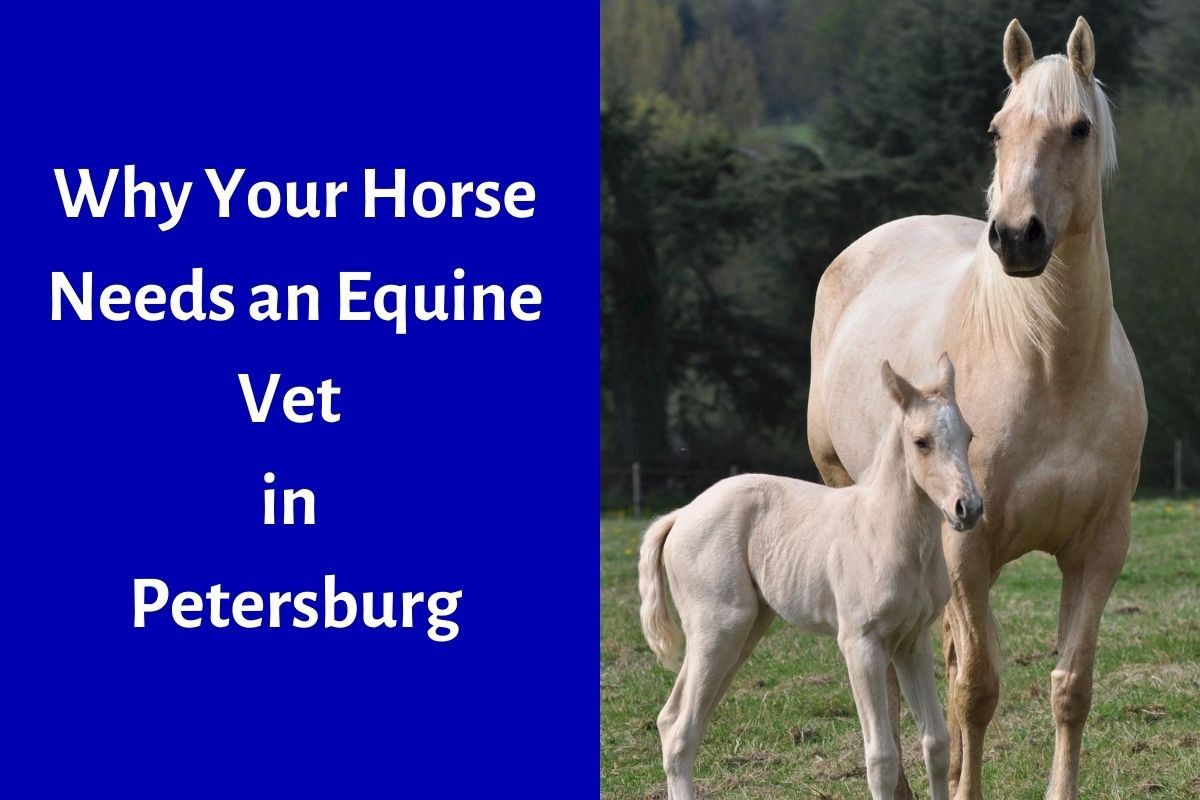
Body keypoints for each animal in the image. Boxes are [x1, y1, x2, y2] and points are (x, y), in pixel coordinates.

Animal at [640, 355, 981, 800]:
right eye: (921, 441)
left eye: (969, 437)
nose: (967, 508)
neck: (884, 531)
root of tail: (680, 515)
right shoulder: (860, 643)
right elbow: (881, 758)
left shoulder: (911, 641)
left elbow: (936, 742)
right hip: (718, 628)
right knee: (681, 730)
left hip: (742, 632)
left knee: (674, 720)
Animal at [806, 18, 1146, 800]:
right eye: (997, 130)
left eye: (1079, 128)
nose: (1017, 237)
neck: (1048, 366)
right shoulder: (970, 547)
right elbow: (977, 689)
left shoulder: (1100, 549)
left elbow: (1069, 687)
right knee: (902, 674)